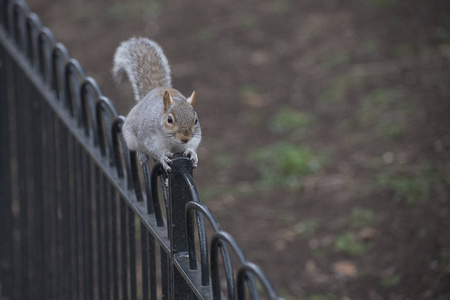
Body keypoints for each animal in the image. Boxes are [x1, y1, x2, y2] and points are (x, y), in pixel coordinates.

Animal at [113, 37, 201, 172]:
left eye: (195, 120)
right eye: (169, 119)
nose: (185, 138)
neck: (172, 140)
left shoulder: (194, 137)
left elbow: (192, 145)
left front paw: (192, 153)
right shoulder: (149, 137)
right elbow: (154, 150)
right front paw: (163, 157)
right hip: (130, 137)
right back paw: (142, 155)